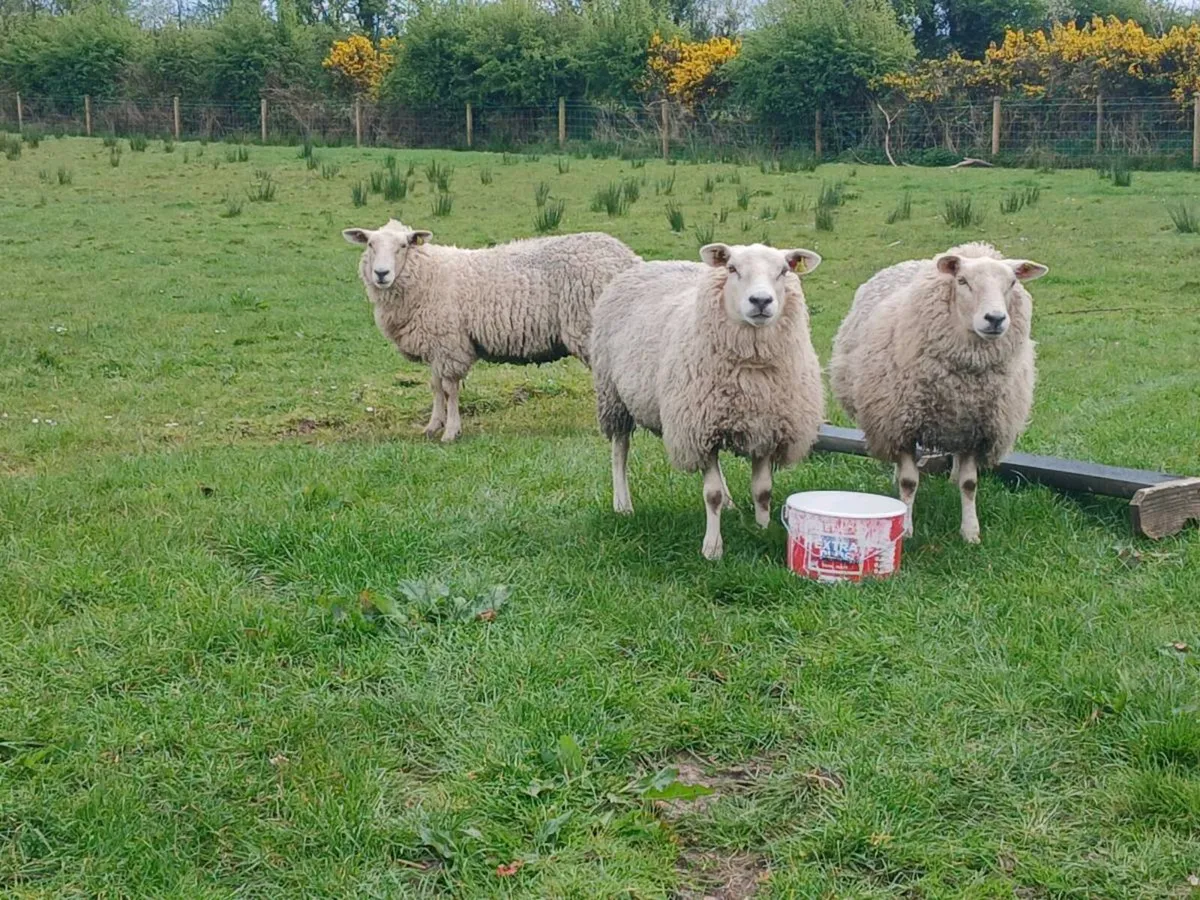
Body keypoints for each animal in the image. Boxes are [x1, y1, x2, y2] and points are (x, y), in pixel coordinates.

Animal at [342, 220, 639, 441]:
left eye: (403, 245)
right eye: (370, 244)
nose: (381, 274)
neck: (428, 274)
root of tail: (629, 257)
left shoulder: (450, 344)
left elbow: (450, 389)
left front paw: (451, 431)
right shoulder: (436, 345)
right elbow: (436, 387)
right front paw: (433, 426)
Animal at [590, 242, 824, 560]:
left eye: (784, 270)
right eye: (732, 269)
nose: (761, 301)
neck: (752, 370)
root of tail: (651, 264)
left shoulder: (765, 428)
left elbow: (763, 490)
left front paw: (762, 531)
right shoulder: (698, 430)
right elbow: (710, 495)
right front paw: (712, 548)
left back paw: (729, 503)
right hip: (613, 396)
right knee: (619, 450)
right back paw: (623, 504)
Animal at [829, 242, 1048, 543]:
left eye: (1012, 282)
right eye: (962, 281)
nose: (995, 319)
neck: (964, 384)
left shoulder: (976, 428)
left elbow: (970, 484)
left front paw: (970, 532)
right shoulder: (901, 424)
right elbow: (909, 482)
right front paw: (907, 527)